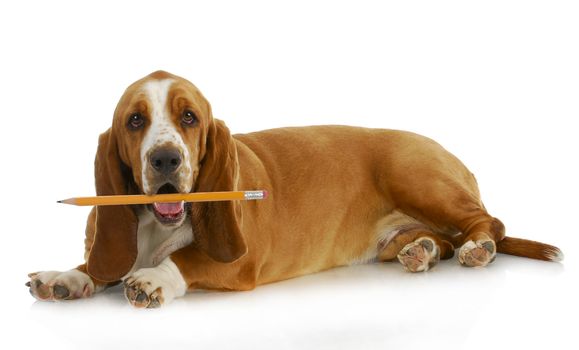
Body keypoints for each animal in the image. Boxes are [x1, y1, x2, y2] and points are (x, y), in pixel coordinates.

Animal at [26, 69, 560, 308]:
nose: (165, 160)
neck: (155, 227)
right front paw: (69, 275)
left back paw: (477, 248)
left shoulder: (242, 262)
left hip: (419, 179)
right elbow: (100, 263)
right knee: (437, 242)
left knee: (487, 222)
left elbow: (187, 259)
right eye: (135, 121)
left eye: (189, 117)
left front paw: (155, 278)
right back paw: (422, 251)